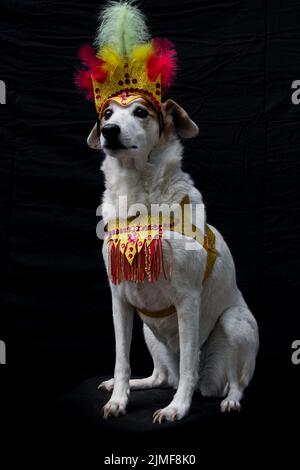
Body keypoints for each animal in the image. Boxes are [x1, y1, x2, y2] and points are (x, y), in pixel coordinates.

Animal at [86, 98, 258, 422]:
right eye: (107, 114)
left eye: (141, 112)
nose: (108, 130)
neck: (138, 198)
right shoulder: (119, 299)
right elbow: (121, 358)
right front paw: (118, 399)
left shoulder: (188, 300)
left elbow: (190, 360)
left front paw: (177, 408)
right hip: (147, 330)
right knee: (162, 377)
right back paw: (132, 383)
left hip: (235, 323)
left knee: (233, 382)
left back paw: (229, 400)